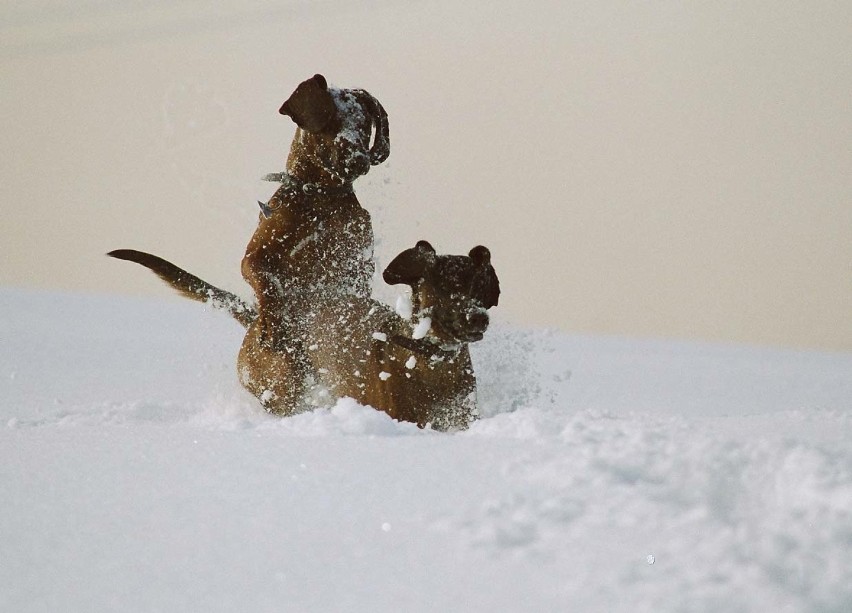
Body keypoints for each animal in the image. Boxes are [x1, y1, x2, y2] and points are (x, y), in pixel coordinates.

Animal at [110, 240, 502, 430]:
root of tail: (259, 320)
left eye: (478, 285)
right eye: (447, 287)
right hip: (284, 384)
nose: (479, 318)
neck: (428, 359)